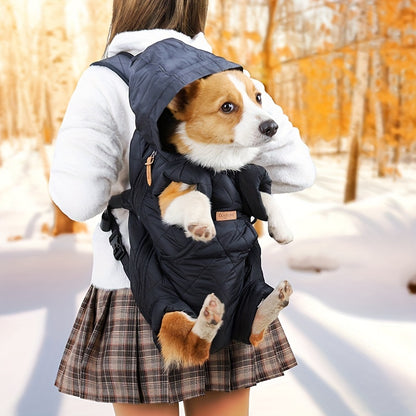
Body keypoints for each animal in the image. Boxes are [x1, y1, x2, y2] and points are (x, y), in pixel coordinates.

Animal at [155, 70, 292, 368]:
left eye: (258, 97)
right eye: (227, 106)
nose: (272, 127)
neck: (221, 167)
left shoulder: (247, 186)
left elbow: (267, 196)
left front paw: (282, 228)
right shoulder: (167, 197)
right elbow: (198, 197)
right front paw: (201, 226)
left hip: (250, 289)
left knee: (253, 327)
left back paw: (276, 299)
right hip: (167, 310)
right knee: (193, 345)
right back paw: (210, 317)